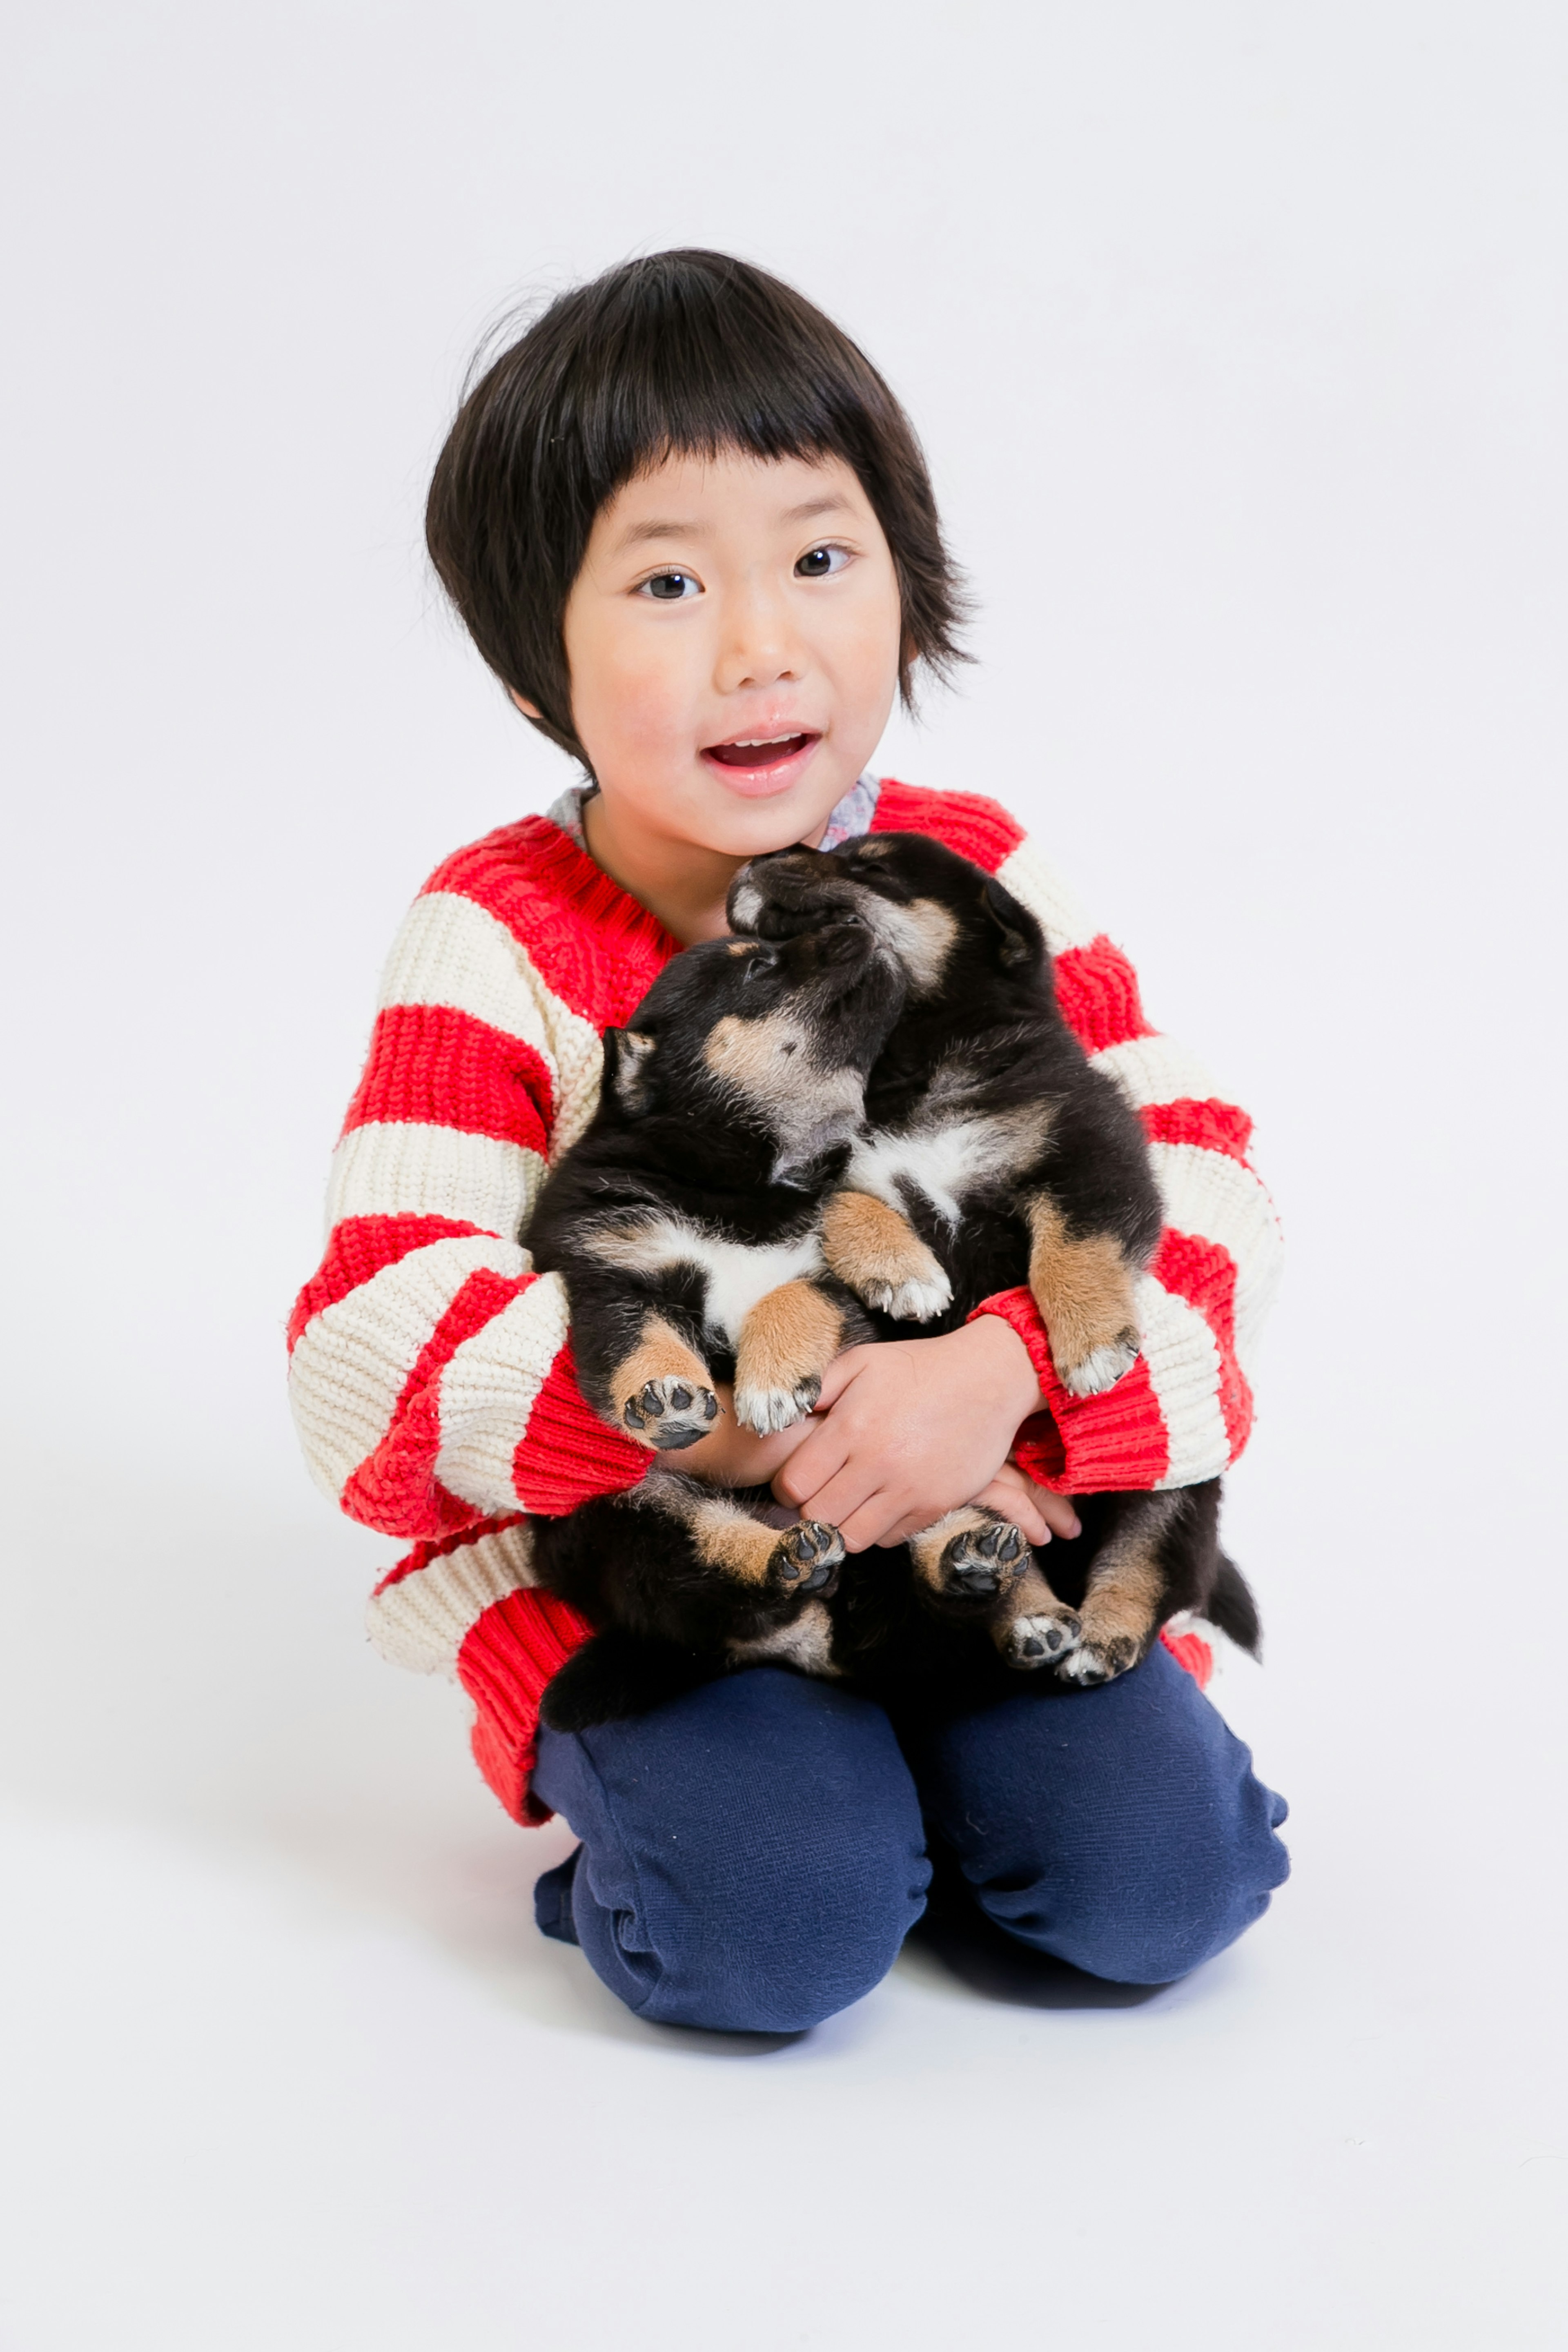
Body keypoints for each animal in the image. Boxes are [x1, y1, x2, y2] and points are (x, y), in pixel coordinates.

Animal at [728, 837, 1260, 1684]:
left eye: (869, 864)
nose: (768, 852)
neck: (914, 1059)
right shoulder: (822, 1175)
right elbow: (853, 1204)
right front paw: (902, 1272)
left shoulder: (1088, 1154)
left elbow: (1074, 1246)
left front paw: (1090, 1346)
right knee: (983, 1564)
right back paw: (1021, 1607)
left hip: (1177, 1494)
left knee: (1146, 1565)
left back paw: (1100, 1637)